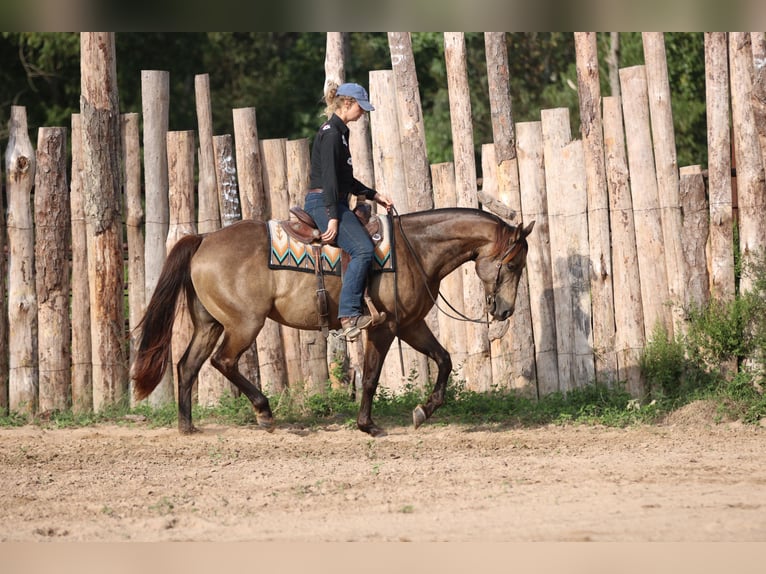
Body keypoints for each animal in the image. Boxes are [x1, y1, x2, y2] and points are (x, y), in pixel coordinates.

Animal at [131, 207, 534, 437]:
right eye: (514, 263)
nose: (504, 311)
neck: (415, 249)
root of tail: (203, 239)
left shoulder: (410, 325)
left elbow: (445, 360)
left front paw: (423, 411)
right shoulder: (384, 328)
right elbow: (370, 376)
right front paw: (367, 425)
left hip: (209, 324)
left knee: (187, 366)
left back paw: (188, 426)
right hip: (244, 324)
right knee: (222, 361)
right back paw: (264, 413)